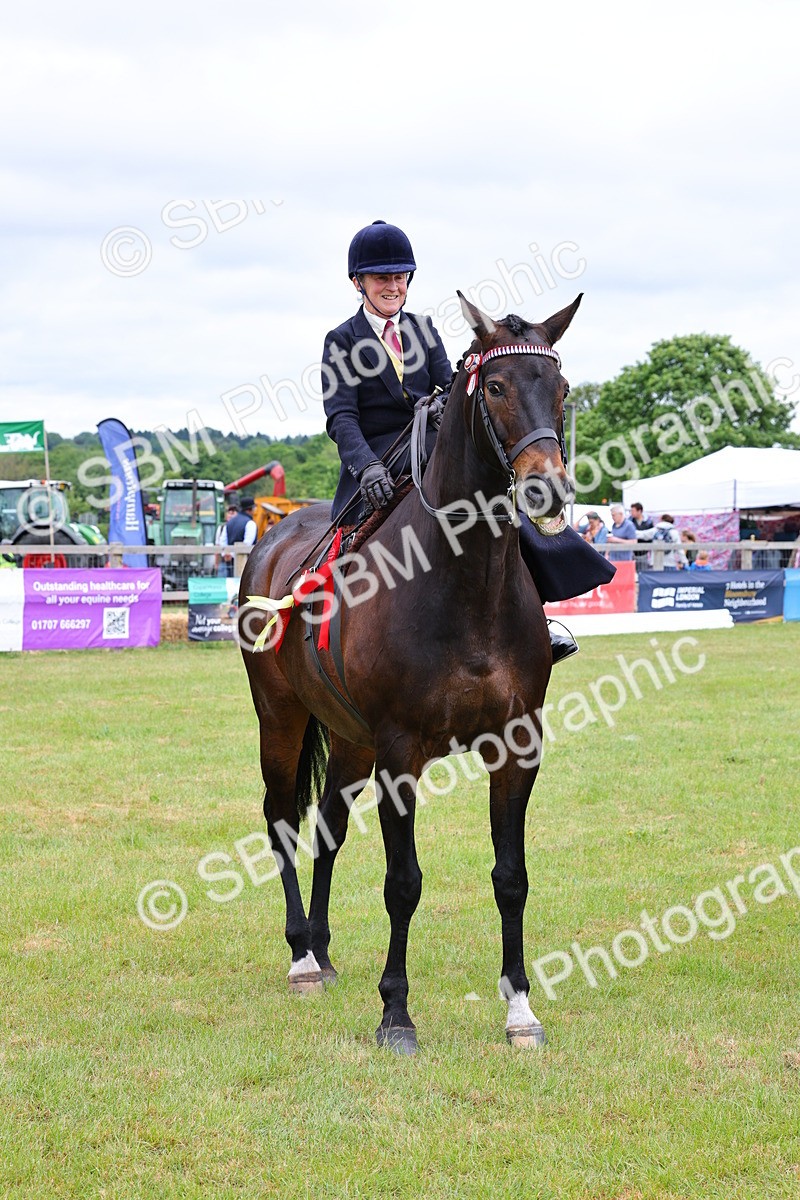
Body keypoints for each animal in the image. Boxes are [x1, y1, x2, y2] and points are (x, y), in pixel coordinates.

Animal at [238, 292, 580, 1054]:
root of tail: (274, 538)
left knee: (329, 827)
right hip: (283, 717)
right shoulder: (400, 753)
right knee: (282, 820)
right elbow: (404, 883)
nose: (545, 489)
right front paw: (395, 1013)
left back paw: (323, 949)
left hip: (349, 739)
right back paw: (300, 957)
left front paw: (521, 1010)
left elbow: (511, 877)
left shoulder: (518, 746)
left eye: (563, 388)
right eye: (495, 386)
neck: (465, 580)